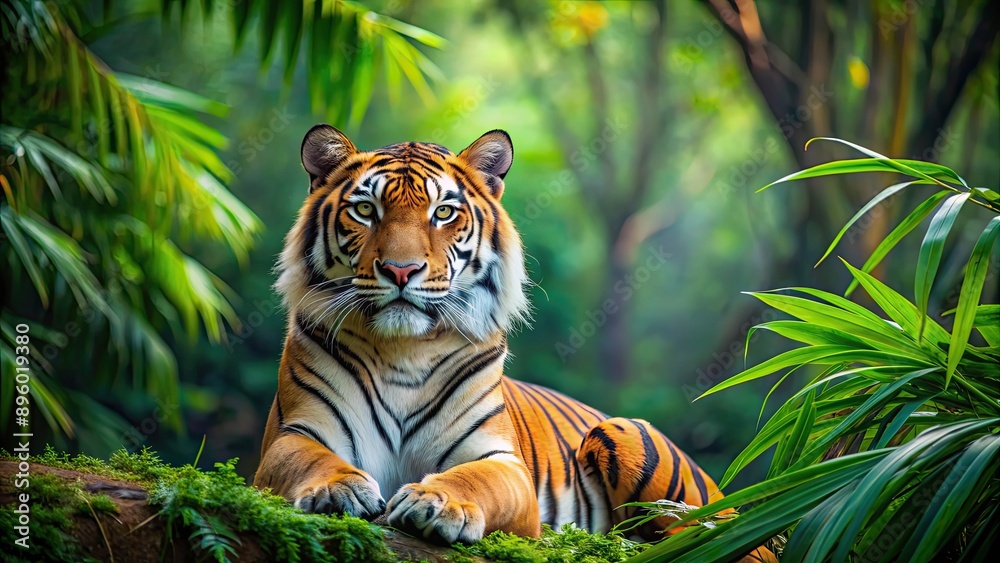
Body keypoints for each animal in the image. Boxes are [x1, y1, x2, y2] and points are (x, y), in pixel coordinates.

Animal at [254, 125, 775, 561]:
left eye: (443, 213)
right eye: (365, 210)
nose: (402, 271)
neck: (404, 350)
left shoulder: (500, 460)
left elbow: (475, 480)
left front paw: (435, 501)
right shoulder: (297, 432)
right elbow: (309, 460)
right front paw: (338, 489)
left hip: (628, 435)